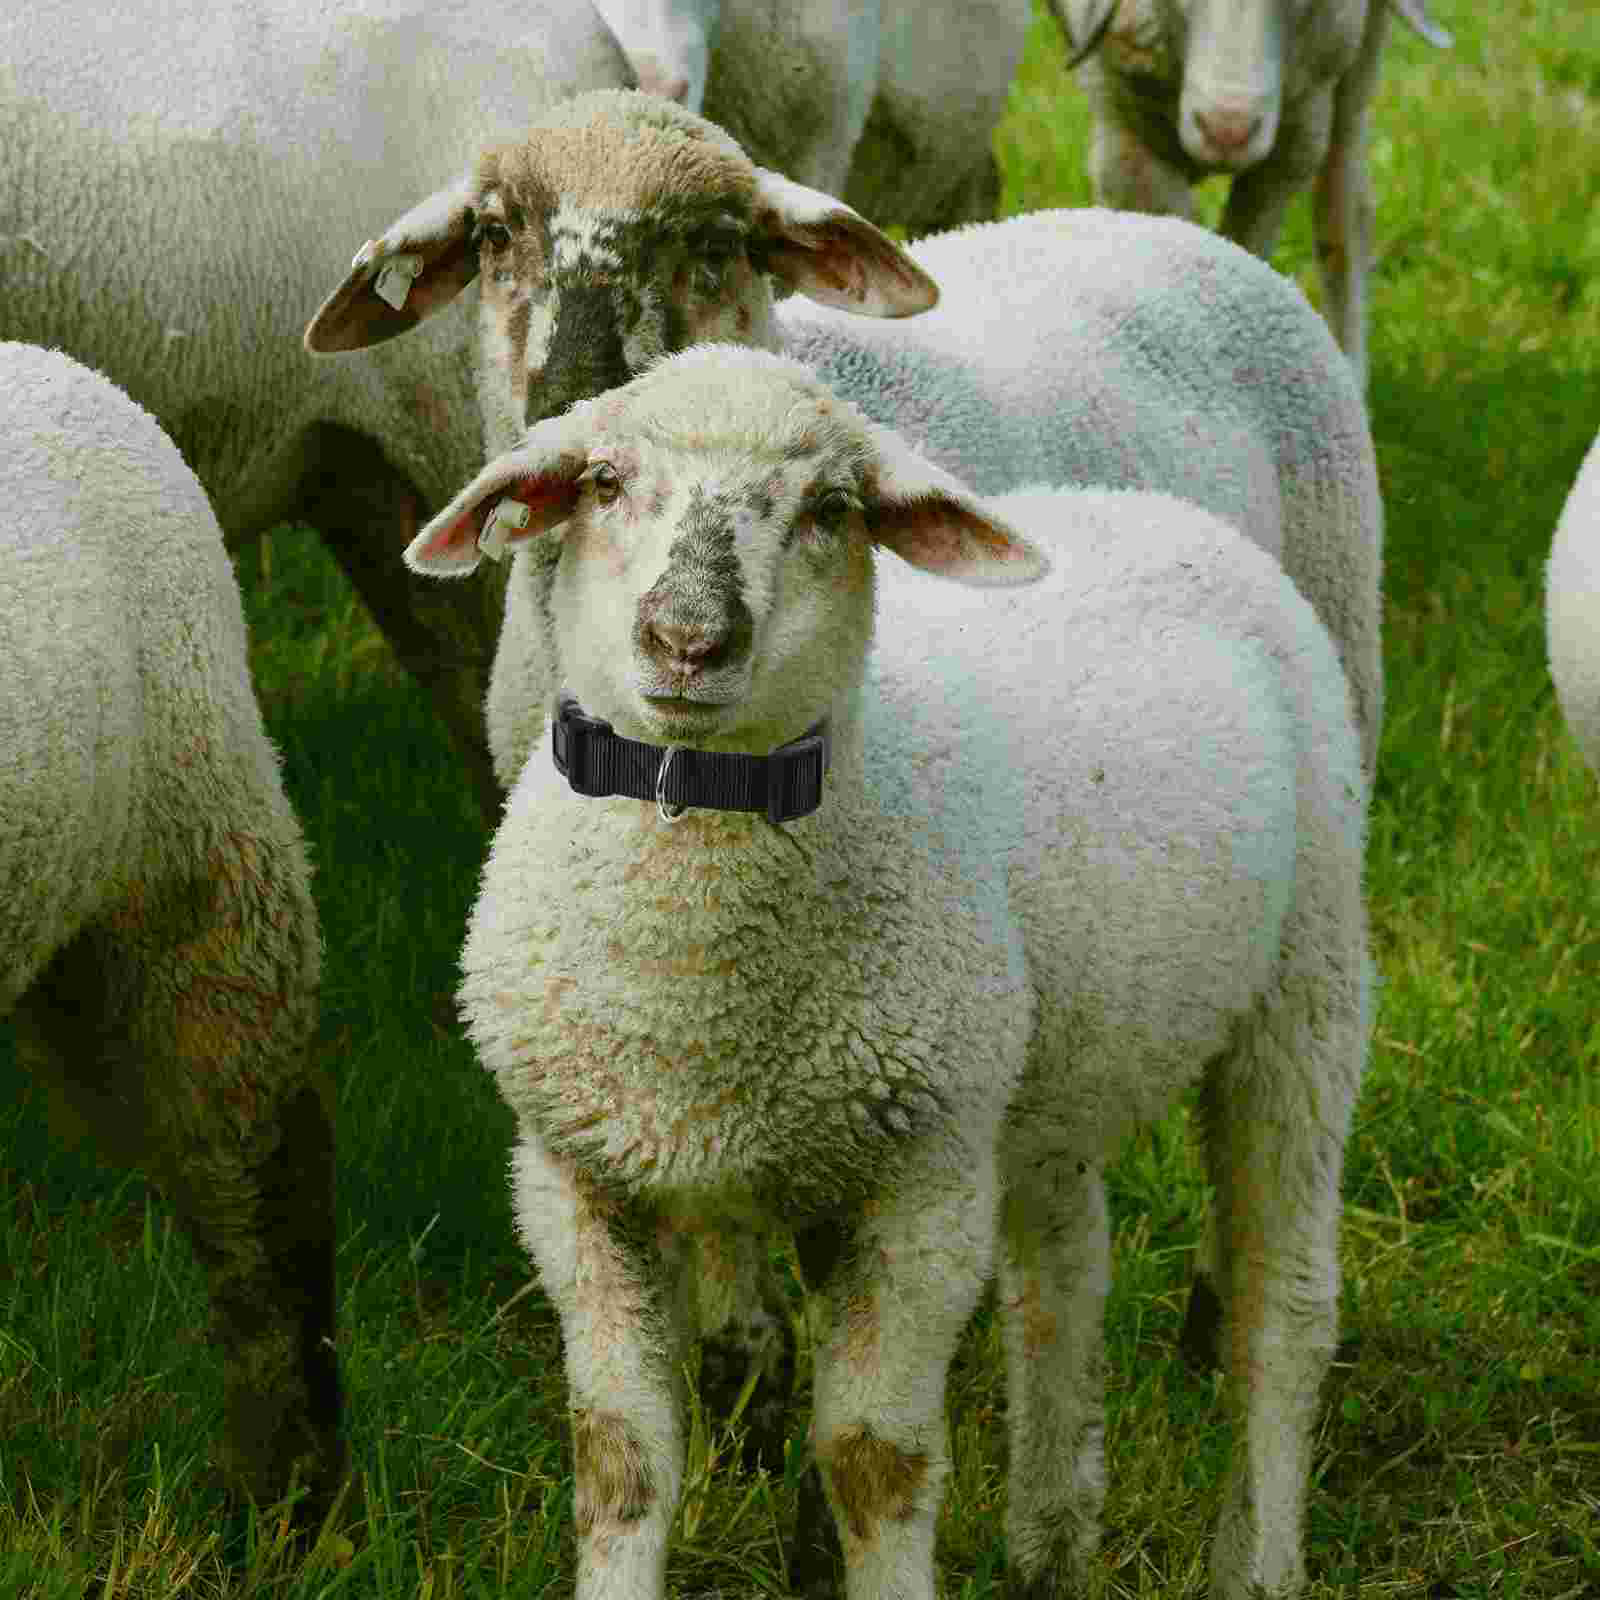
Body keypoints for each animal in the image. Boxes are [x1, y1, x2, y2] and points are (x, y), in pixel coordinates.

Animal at [403, 345, 1372, 1599]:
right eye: (605, 482)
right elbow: (619, 1455)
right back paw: (1050, 1538)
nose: (687, 638)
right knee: (1063, 1273)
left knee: (1282, 1304)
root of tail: (1151, 508)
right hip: (1040, 1065)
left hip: (1306, 985)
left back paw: (1253, 1558)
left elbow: (873, 1460)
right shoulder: (579, 1177)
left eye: (831, 508)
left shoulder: (917, 1187)